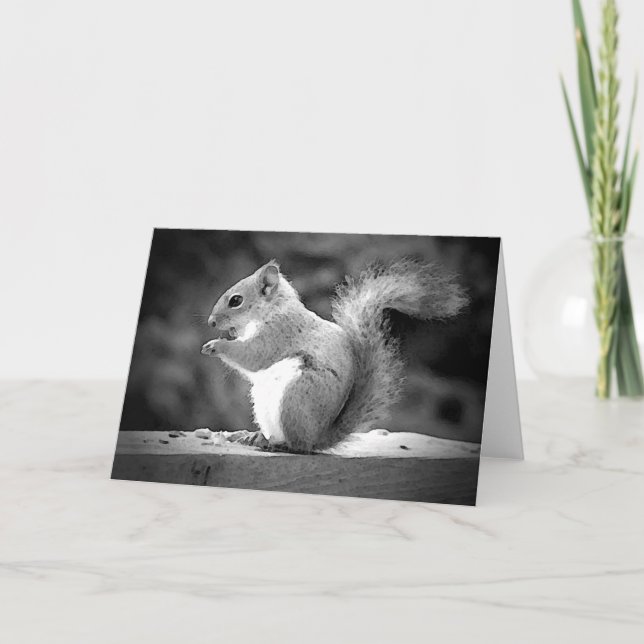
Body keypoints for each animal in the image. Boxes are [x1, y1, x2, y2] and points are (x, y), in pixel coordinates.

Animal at [201, 259, 468, 453]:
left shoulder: (279, 334)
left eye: (236, 300)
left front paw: (216, 345)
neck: (272, 310)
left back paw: (279, 444)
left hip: (296, 398)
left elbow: (253, 355)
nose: (211, 322)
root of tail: (318, 438)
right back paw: (255, 437)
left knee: (298, 446)